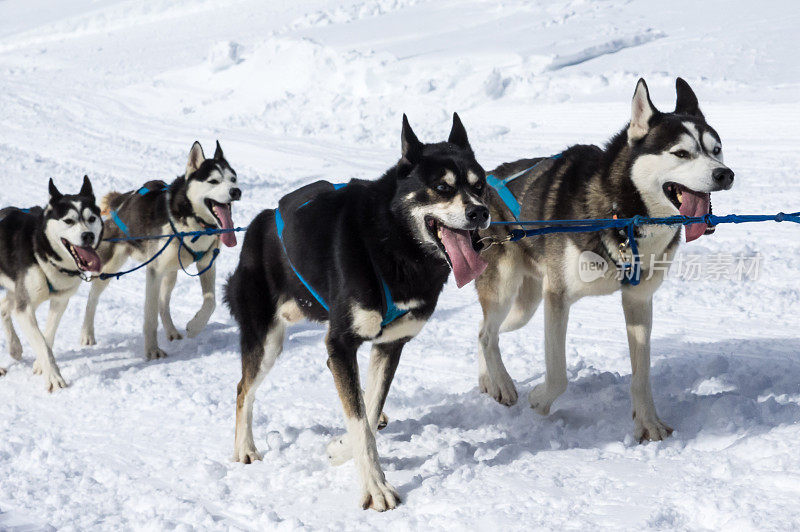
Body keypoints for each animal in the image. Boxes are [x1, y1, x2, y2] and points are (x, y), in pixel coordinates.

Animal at [0, 177, 103, 388]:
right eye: (69, 221)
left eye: (91, 219)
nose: (88, 235)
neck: (43, 252)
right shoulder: (25, 309)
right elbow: (40, 342)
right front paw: (55, 378)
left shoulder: (60, 301)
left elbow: (47, 337)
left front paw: (41, 365)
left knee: (4, 307)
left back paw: (15, 346)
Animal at [83, 141, 244, 360]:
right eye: (214, 181)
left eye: (233, 179)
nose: (236, 191)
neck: (192, 222)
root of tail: (122, 201)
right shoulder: (154, 271)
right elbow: (150, 316)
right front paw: (152, 350)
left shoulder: (207, 264)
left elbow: (211, 302)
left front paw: (195, 326)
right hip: (110, 266)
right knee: (92, 297)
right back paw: (87, 334)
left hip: (170, 273)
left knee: (163, 303)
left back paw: (171, 331)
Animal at [223, 114, 488, 510]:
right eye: (442, 186)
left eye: (480, 185)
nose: (480, 212)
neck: (395, 245)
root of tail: (260, 221)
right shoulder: (341, 344)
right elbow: (360, 419)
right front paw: (376, 487)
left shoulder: (390, 345)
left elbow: (369, 408)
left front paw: (341, 447)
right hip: (265, 340)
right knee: (244, 389)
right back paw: (244, 448)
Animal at [478, 76, 736, 440]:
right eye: (681, 153)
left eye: (716, 150)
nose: (725, 174)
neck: (624, 214)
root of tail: (482, 183)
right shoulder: (557, 297)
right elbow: (558, 374)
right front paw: (540, 400)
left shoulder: (638, 300)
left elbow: (642, 376)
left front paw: (649, 423)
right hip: (506, 288)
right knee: (488, 334)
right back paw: (502, 384)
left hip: (524, 307)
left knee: (485, 332)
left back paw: (487, 380)